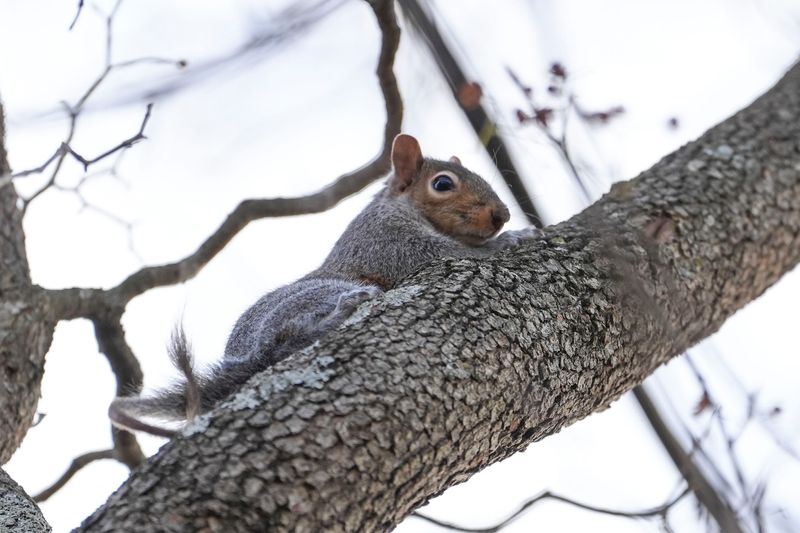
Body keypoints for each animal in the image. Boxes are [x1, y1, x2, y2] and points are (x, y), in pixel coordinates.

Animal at [109, 134, 541, 437]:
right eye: (443, 184)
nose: (502, 215)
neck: (398, 206)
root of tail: (245, 360)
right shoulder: (387, 241)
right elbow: (441, 254)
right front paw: (511, 239)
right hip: (314, 296)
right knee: (289, 340)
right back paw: (344, 309)